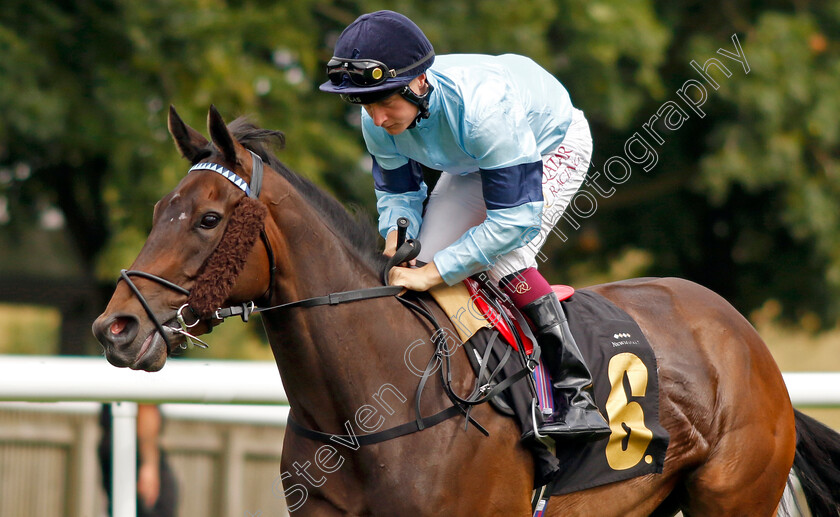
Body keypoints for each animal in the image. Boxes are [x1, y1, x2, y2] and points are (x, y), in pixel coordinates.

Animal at [93, 107, 840, 512]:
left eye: (209, 219)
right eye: (160, 210)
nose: (114, 327)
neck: (366, 410)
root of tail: (747, 339)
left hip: (732, 495)